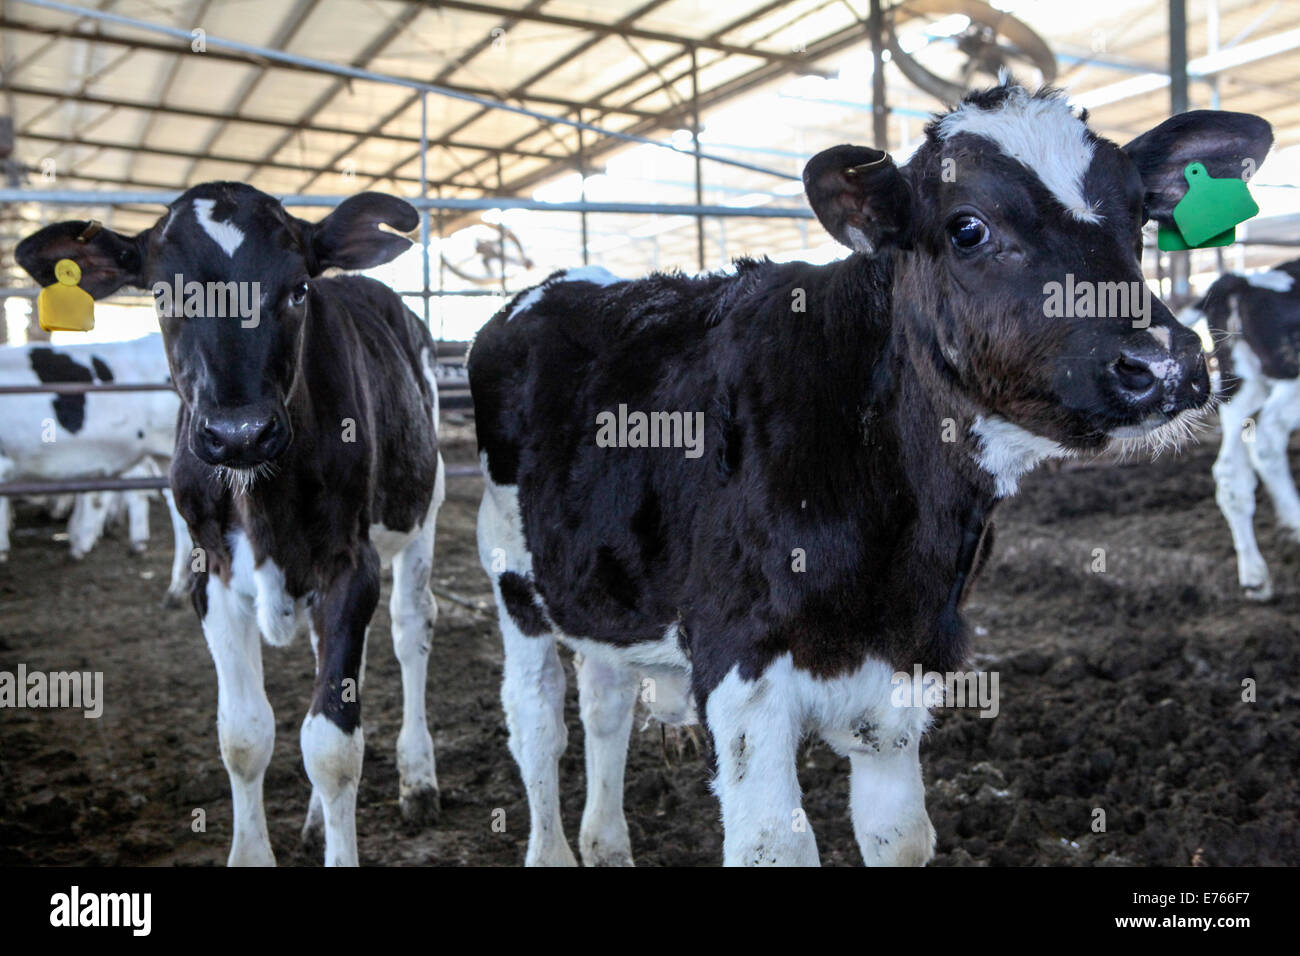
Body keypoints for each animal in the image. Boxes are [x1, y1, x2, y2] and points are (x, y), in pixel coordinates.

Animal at [1185, 257, 1300, 595]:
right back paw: (1295, 524)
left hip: (1237, 389)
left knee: (1229, 473)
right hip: (1291, 378)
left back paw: (1254, 574)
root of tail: (1241, 281)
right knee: (1267, 440)